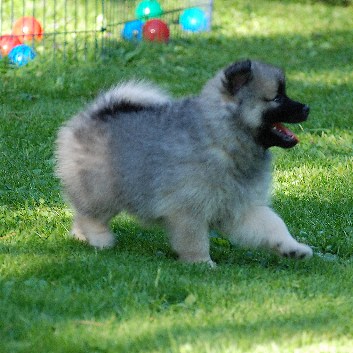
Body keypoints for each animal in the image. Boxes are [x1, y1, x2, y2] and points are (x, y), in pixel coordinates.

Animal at [56, 59, 312, 264]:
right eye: (277, 98)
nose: (307, 107)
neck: (222, 138)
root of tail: (94, 114)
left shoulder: (241, 208)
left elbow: (274, 225)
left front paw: (293, 248)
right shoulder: (189, 208)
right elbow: (195, 240)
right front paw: (201, 263)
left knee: (81, 215)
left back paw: (81, 237)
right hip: (102, 188)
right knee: (90, 215)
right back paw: (100, 239)